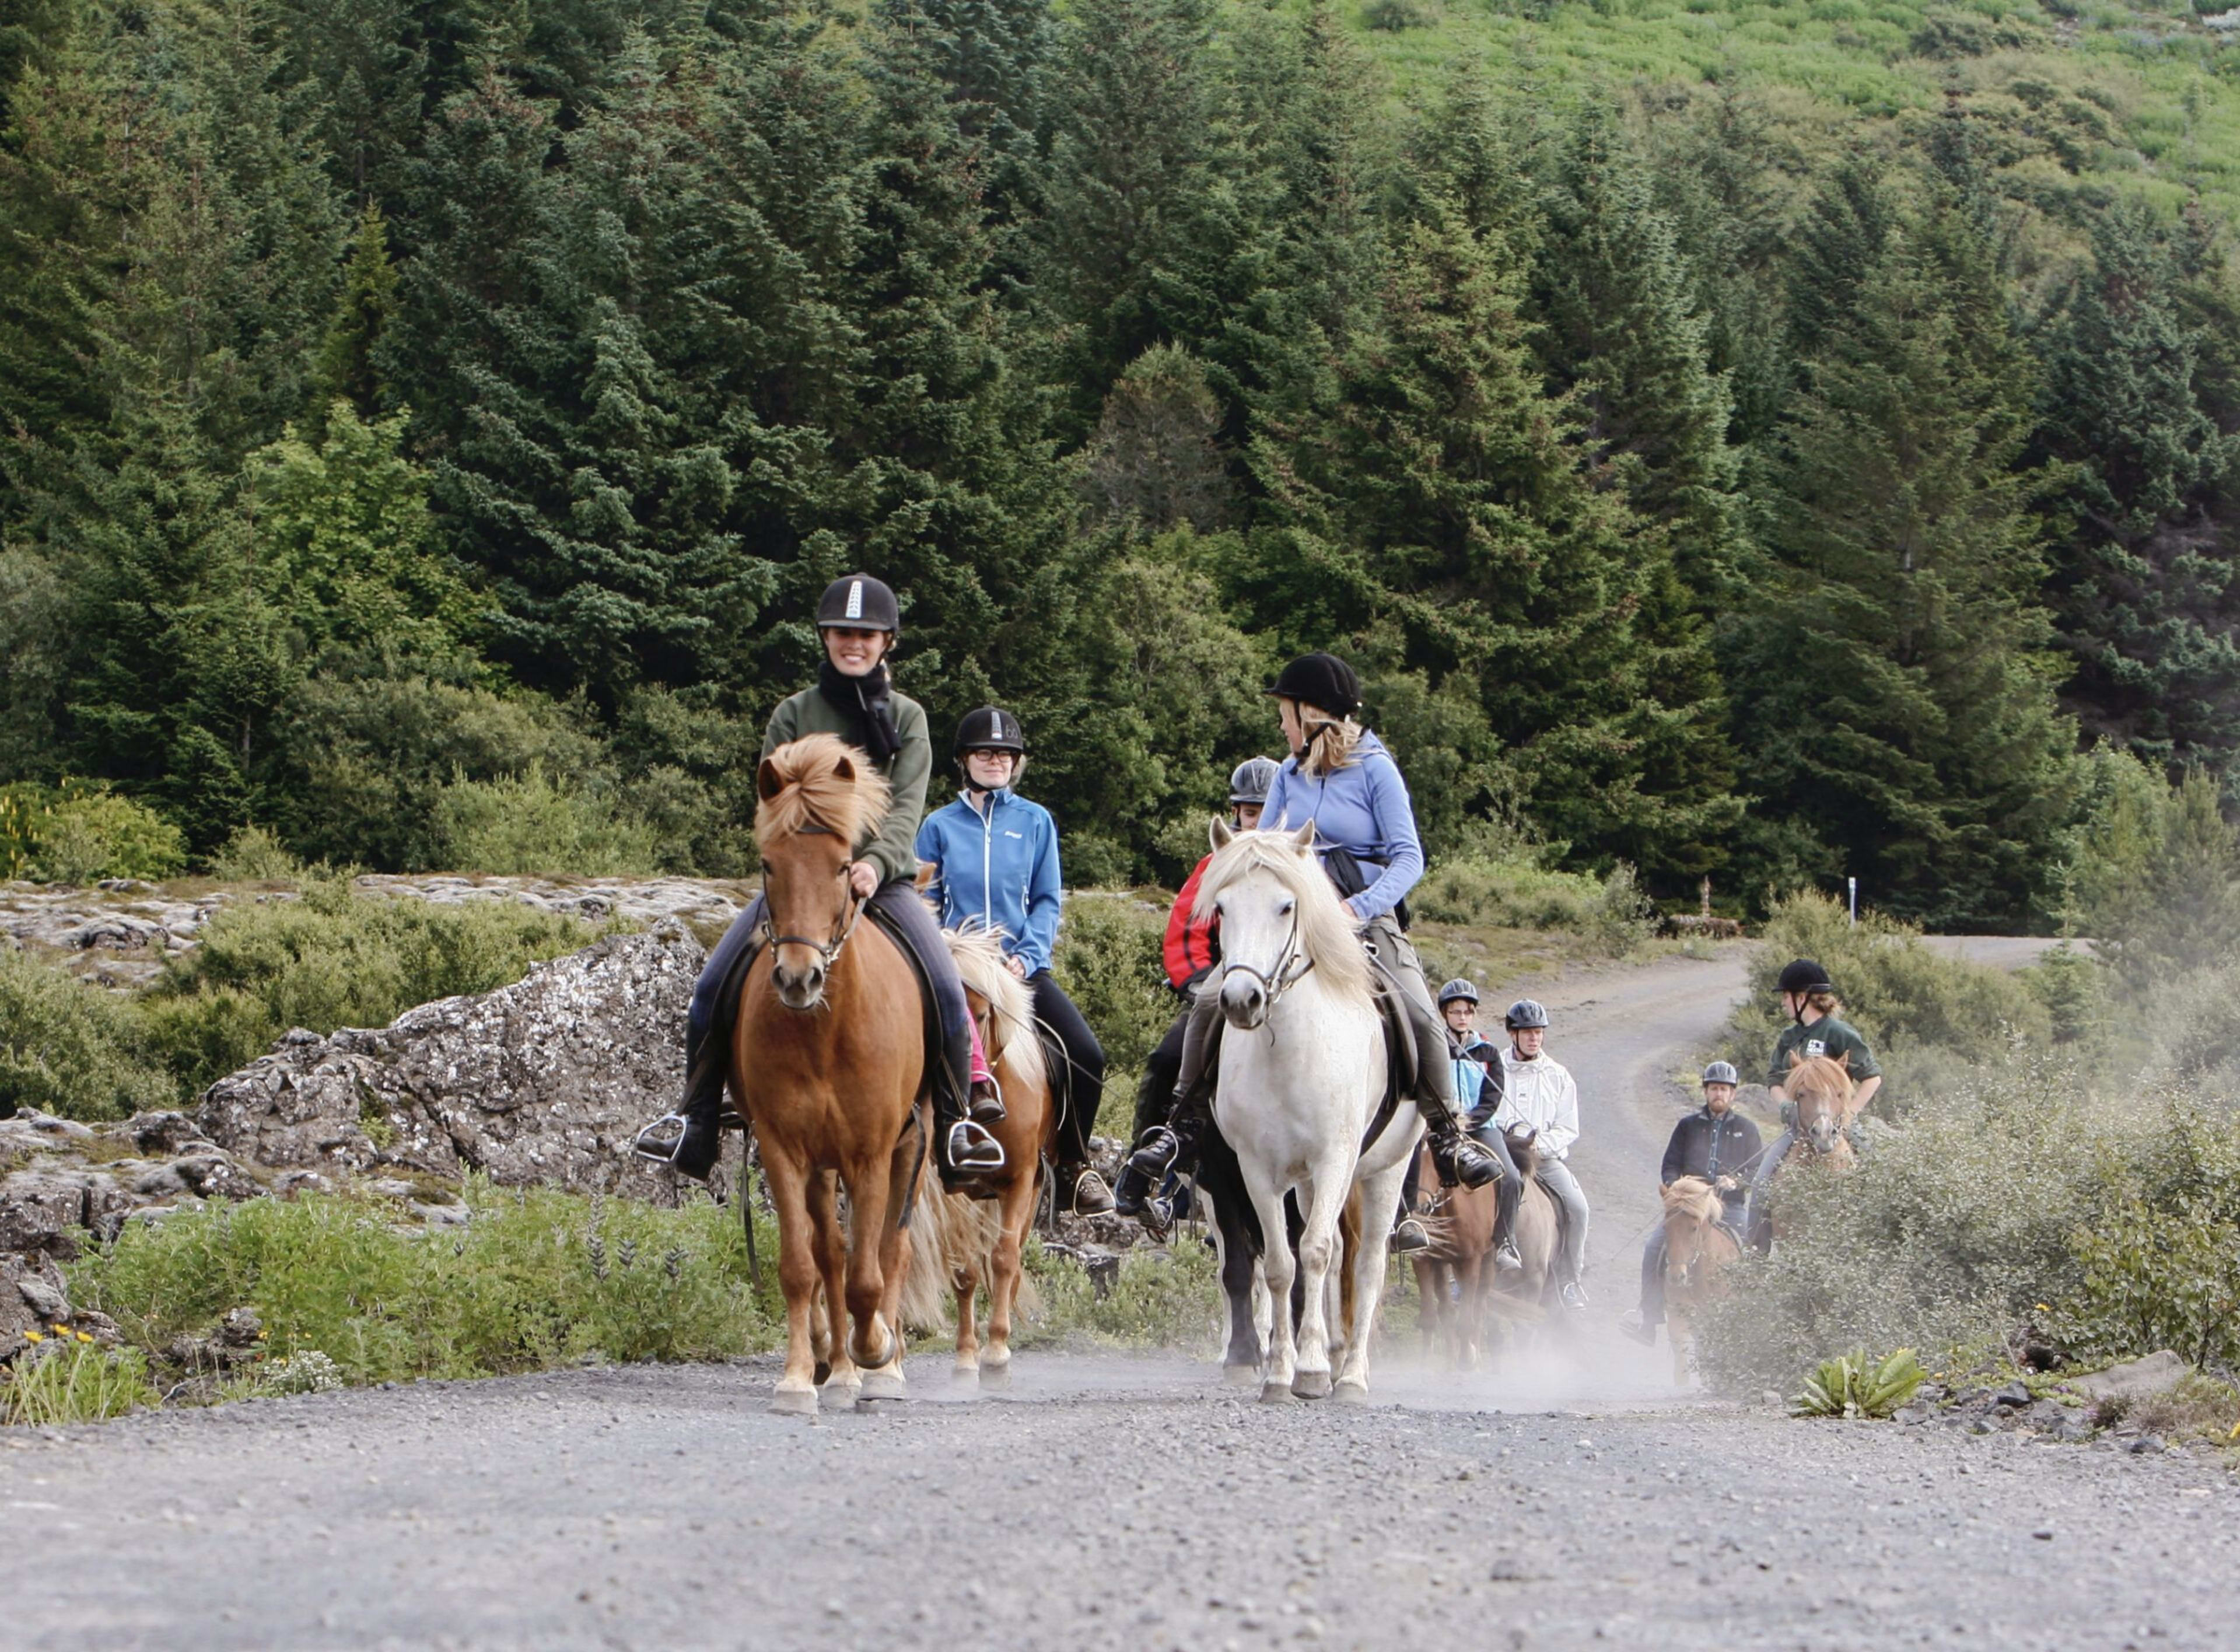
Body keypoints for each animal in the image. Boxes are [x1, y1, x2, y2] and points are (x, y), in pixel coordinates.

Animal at [734, 738, 927, 1415]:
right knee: (831, 1255)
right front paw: (799, 1376)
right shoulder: (783, 1149)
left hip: (909, 1149)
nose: (799, 978)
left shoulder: (871, 1154)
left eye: (845, 867)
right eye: (769, 864)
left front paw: (878, 1351)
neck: (821, 1033)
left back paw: (879, 1365)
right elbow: (803, 1265)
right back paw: (835, 1365)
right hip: (822, 1166)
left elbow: (870, 1274)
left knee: (890, 1251)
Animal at [1191, 819, 1415, 1396]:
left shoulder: (1335, 1157)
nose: (1241, 999)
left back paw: (1352, 1374)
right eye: (1220, 907)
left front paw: (1312, 1373)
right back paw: (1333, 1356)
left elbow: (1313, 1252)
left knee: (1368, 1264)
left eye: (1286, 907)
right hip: (1312, 1183)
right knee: (1334, 1251)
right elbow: (1279, 1265)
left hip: (1384, 1170)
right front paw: (1280, 1372)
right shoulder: (1255, 1169)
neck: (1290, 1053)